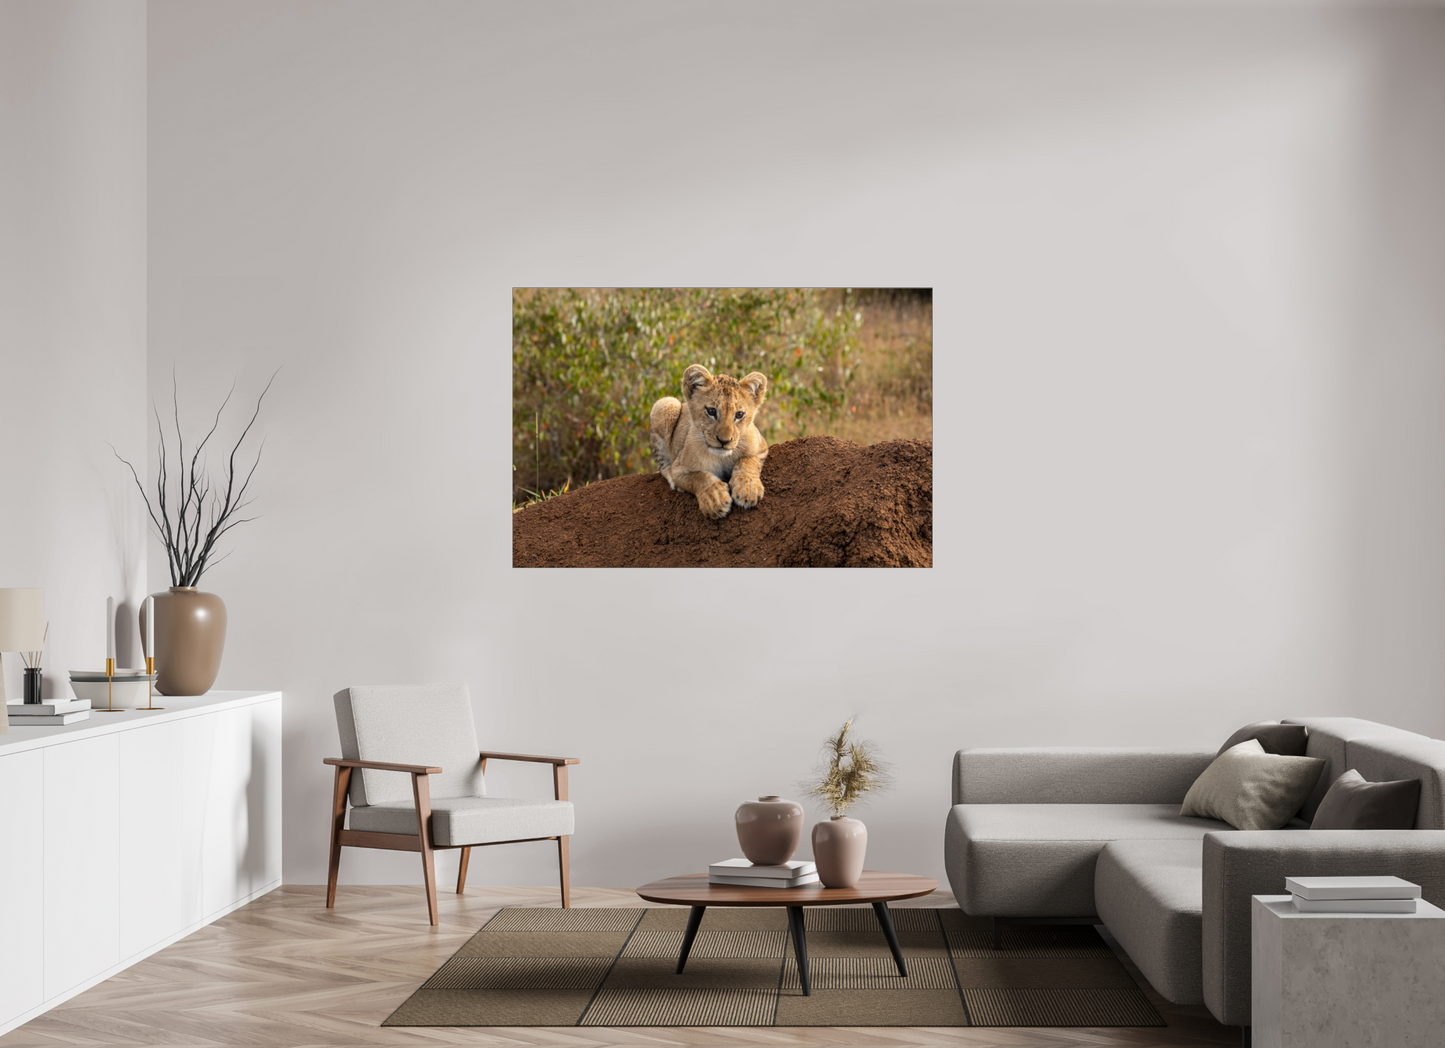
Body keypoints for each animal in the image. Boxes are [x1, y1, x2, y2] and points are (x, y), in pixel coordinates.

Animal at [649, 364, 769, 519]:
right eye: (711, 411)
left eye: (739, 414)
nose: (724, 441)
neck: (722, 457)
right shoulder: (679, 469)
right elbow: (699, 477)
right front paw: (715, 498)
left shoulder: (761, 446)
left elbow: (747, 461)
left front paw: (747, 489)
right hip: (665, 404)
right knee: (662, 463)